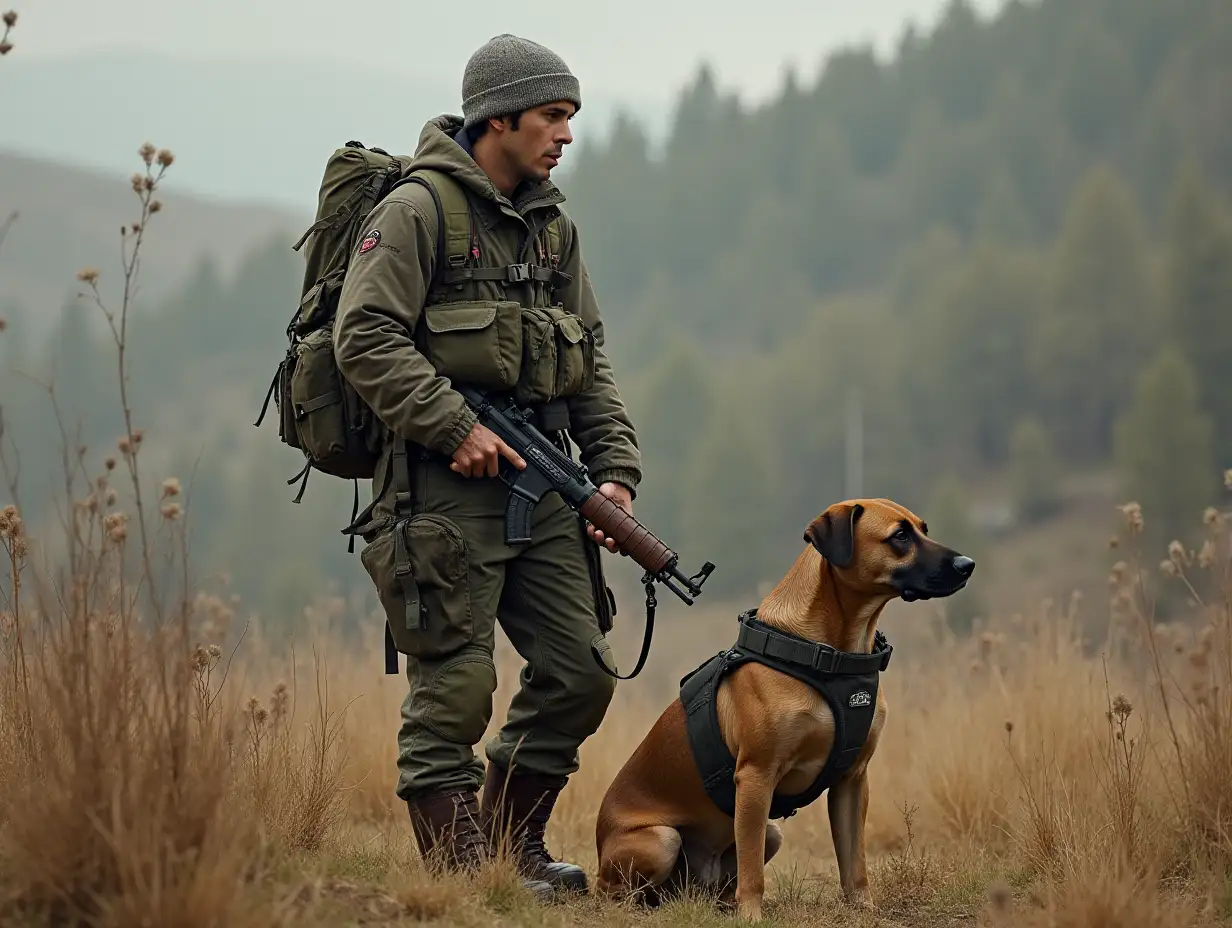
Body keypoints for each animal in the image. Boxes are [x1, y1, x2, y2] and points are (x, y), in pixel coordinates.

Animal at [593, 495, 970, 916]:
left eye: (923, 529)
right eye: (900, 536)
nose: (967, 565)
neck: (833, 655)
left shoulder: (853, 779)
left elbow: (854, 862)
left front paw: (863, 908)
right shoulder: (756, 777)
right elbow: (753, 869)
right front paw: (752, 915)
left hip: (769, 833)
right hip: (662, 840)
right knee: (618, 889)